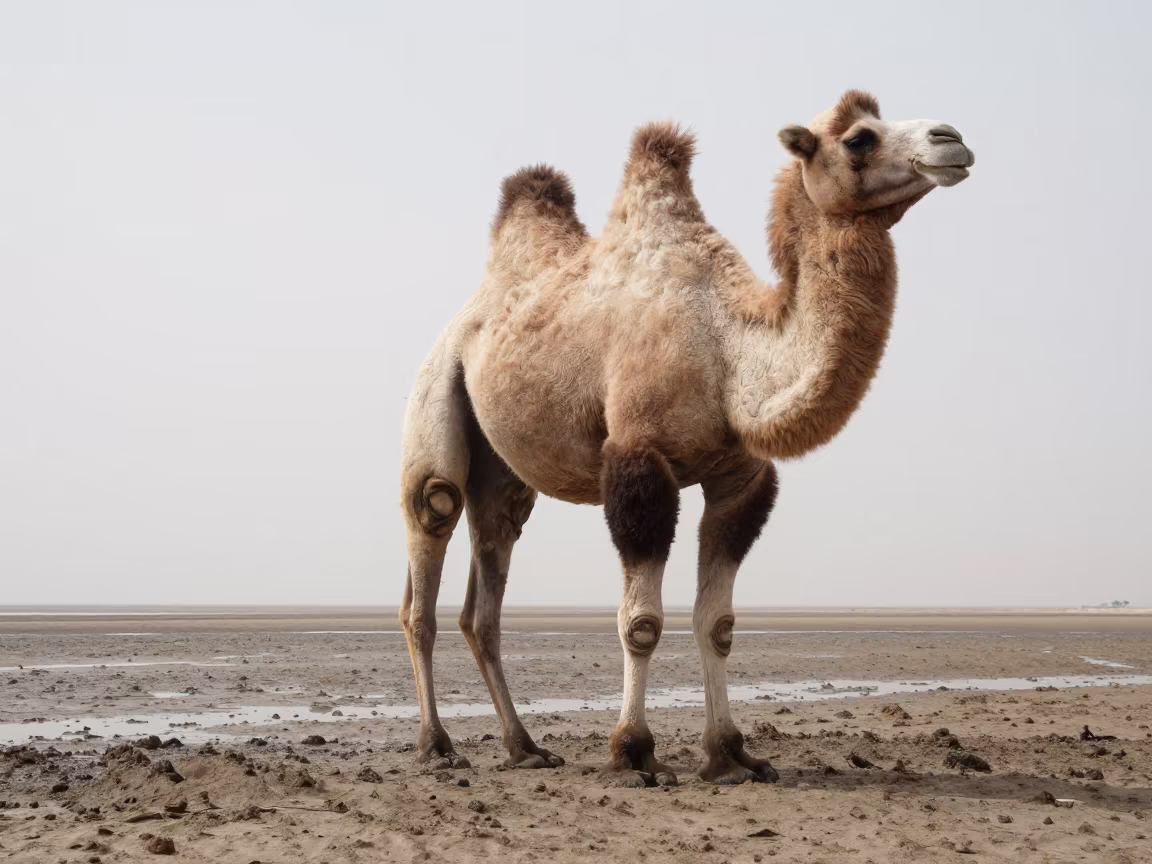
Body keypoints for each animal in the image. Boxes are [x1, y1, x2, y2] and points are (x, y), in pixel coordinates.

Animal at [398, 90, 975, 786]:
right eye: (860, 138)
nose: (952, 139)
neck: (726, 351)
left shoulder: (741, 480)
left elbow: (718, 623)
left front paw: (730, 753)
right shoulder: (639, 461)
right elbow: (641, 623)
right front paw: (633, 751)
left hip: (504, 471)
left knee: (488, 577)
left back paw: (525, 746)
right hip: (434, 396)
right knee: (431, 529)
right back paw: (435, 745)